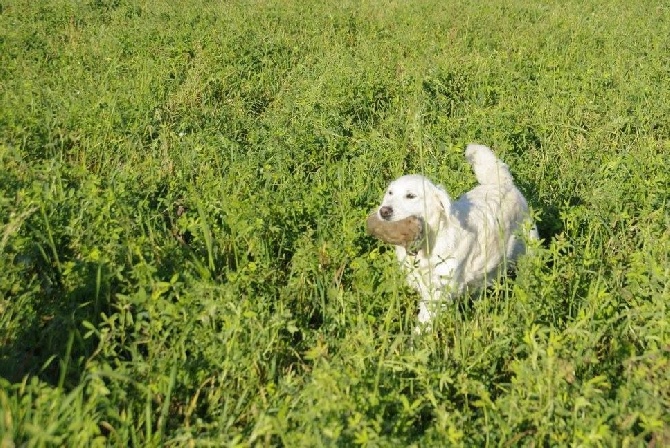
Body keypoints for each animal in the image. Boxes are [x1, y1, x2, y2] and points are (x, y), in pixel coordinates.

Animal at [378, 145, 540, 330]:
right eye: (390, 193)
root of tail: (503, 183)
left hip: (528, 251)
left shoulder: (439, 292)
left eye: (410, 196)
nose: (384, 211)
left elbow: (423, 324)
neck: (430, 242)